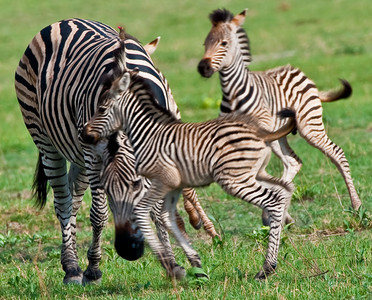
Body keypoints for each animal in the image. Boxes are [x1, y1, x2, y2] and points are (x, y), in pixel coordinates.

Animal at [14, 17, 215, 284]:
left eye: (137, 185)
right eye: (110, 190)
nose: (128, 250)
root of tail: (63, 21)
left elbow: (158, 210)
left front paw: (173, 262)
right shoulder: (94, 156)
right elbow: (99, 214)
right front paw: (93, 269)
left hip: (77, 153)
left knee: (73, 196)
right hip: (44, 137)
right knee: (62, 201)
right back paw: (72, 268)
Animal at [83, 69, 296, 280]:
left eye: (101, 109)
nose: (84, 134)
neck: (148, 134)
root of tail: (261, 132)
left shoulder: (162, 180)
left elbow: (142, 212)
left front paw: (171, 266)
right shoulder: (174, 185)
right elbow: (167, 217)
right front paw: (194, 262)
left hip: (234, 179)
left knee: (273, 200)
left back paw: (267, 267)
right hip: (255, 174)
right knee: (284, 190)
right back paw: (279, 245)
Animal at [199, 8, 362, 224]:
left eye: (224, 43)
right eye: (205, 43)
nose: (203, 68)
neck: (233, 93)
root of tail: (296, 70)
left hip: (309, 126)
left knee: (337, 153)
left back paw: (356, 205)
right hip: (280, 133)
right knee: (293, 162)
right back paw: (281, 214)